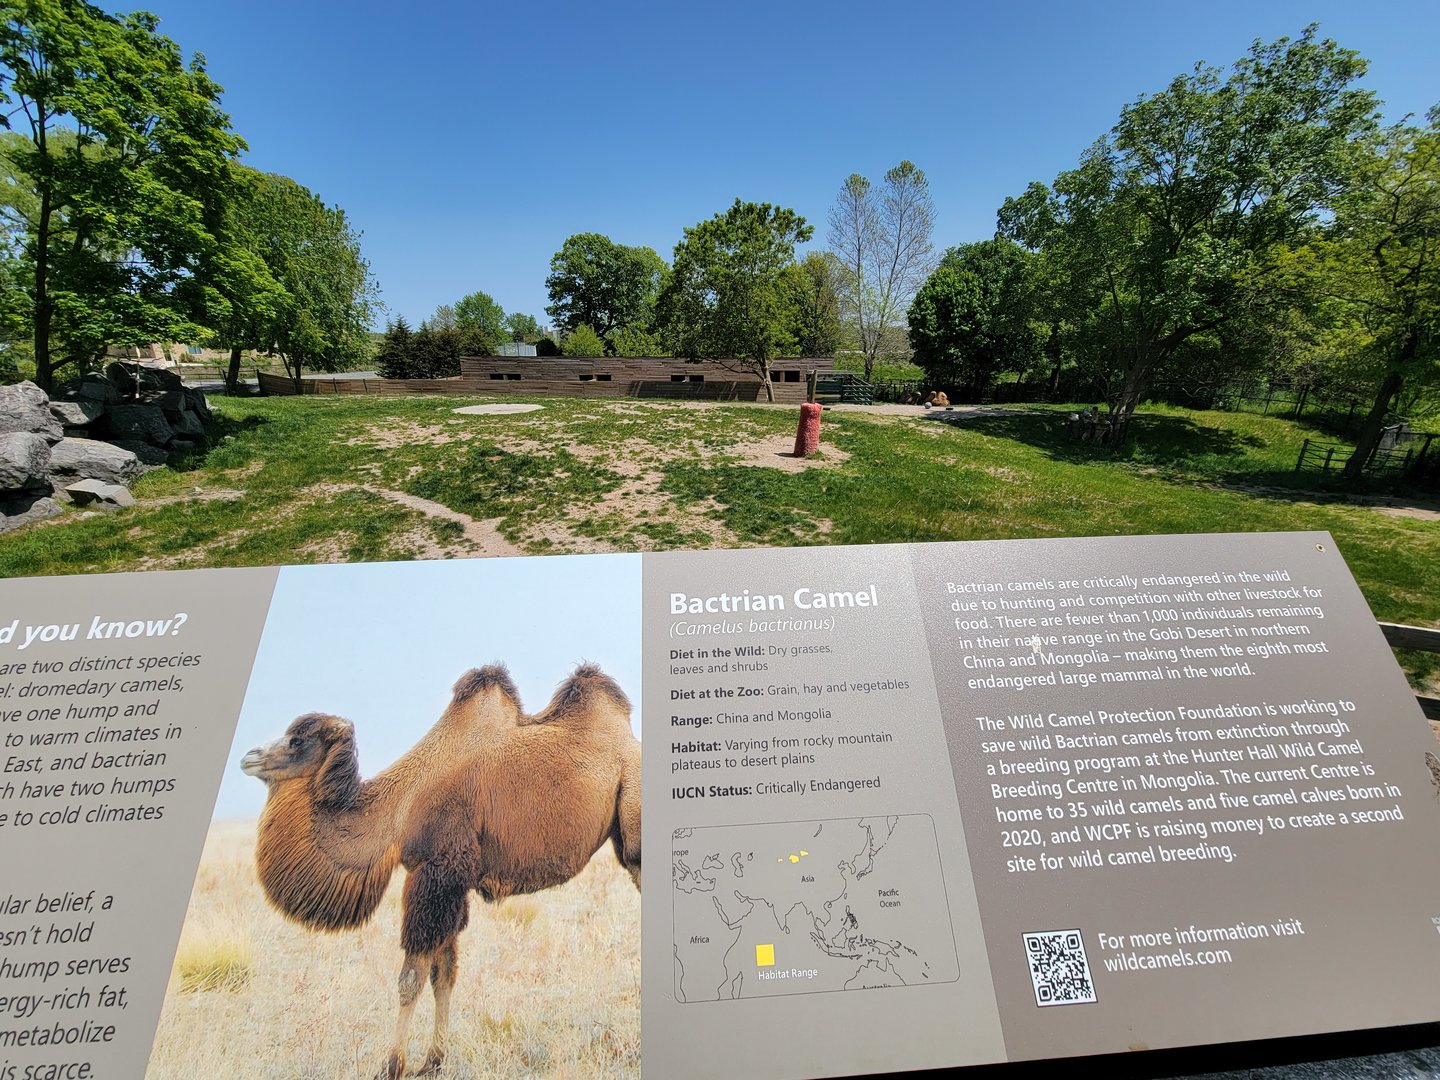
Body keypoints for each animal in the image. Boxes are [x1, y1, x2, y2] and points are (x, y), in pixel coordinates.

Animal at [239, 662, 642, 1078]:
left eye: (297, 741)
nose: (249, 756)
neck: (398, 813)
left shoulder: (437, 873)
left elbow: (411, 978)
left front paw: (391, 1065)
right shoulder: (450, 884)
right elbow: (444, 974)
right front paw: (433, 1060)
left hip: (634, 813)